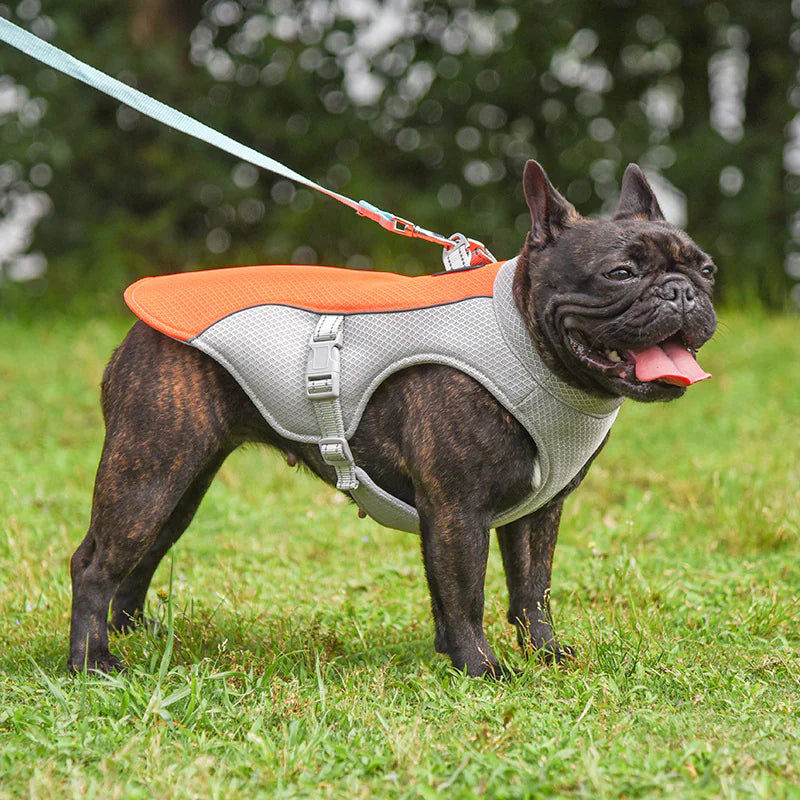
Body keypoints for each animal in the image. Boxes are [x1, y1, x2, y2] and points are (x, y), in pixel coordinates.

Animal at [69, 161, 720, 676]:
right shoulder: (458, 510)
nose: (682, 291)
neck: (523, 341)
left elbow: (531, 590)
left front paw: (543, 654)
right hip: (150, 472)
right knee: (96, 562)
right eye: (620, 274)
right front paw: (482, 669)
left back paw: (133, 634)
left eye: (707, 270)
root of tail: (140, 319)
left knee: (144, 553)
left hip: (181, 480)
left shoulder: (537, 513)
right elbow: (467, 593)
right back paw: (93, 662)